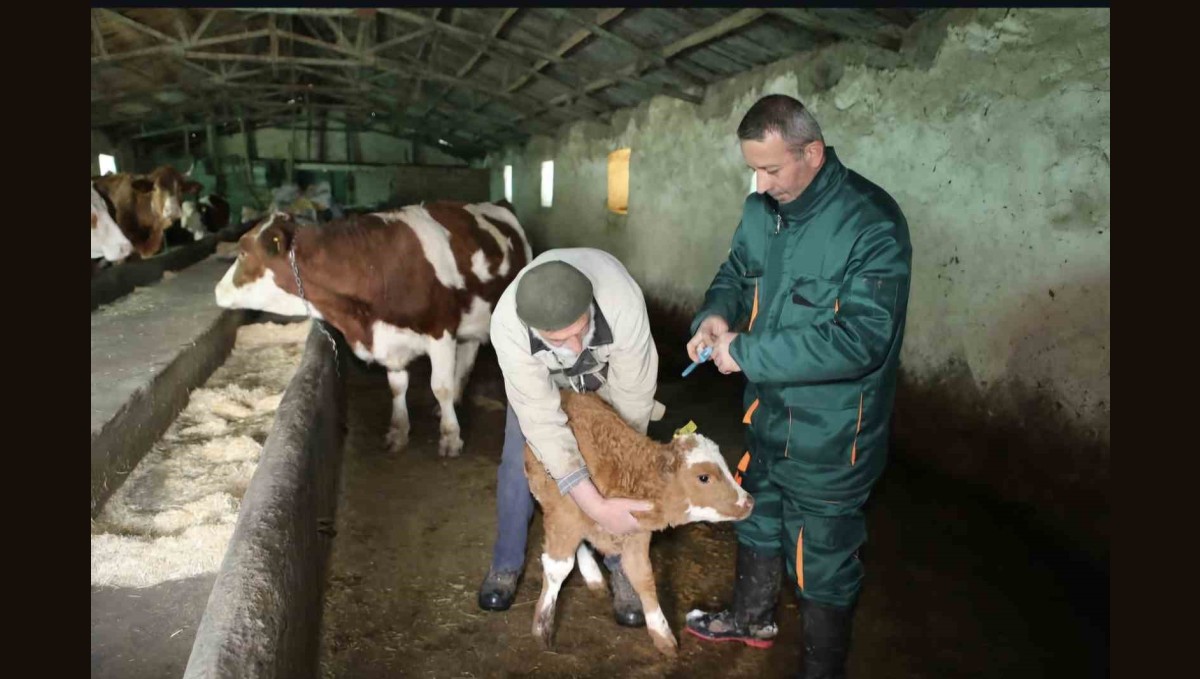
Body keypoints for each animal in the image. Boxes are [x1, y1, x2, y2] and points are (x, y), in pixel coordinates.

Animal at [214, 199, 530, 460]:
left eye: (242, 252)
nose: (217, 291)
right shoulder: (389, 341)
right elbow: (397, 386)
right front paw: (398, 431)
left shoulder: (440, 331)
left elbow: (440, 386)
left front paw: (450, 437)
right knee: (467, 354)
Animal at [523, 391, 748, 657]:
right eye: (704, 477)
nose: (749, 501)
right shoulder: (564, 516)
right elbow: (557, 569)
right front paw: (541, 627)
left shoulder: (635, 533)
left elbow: (643, 577)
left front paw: (662, 634)